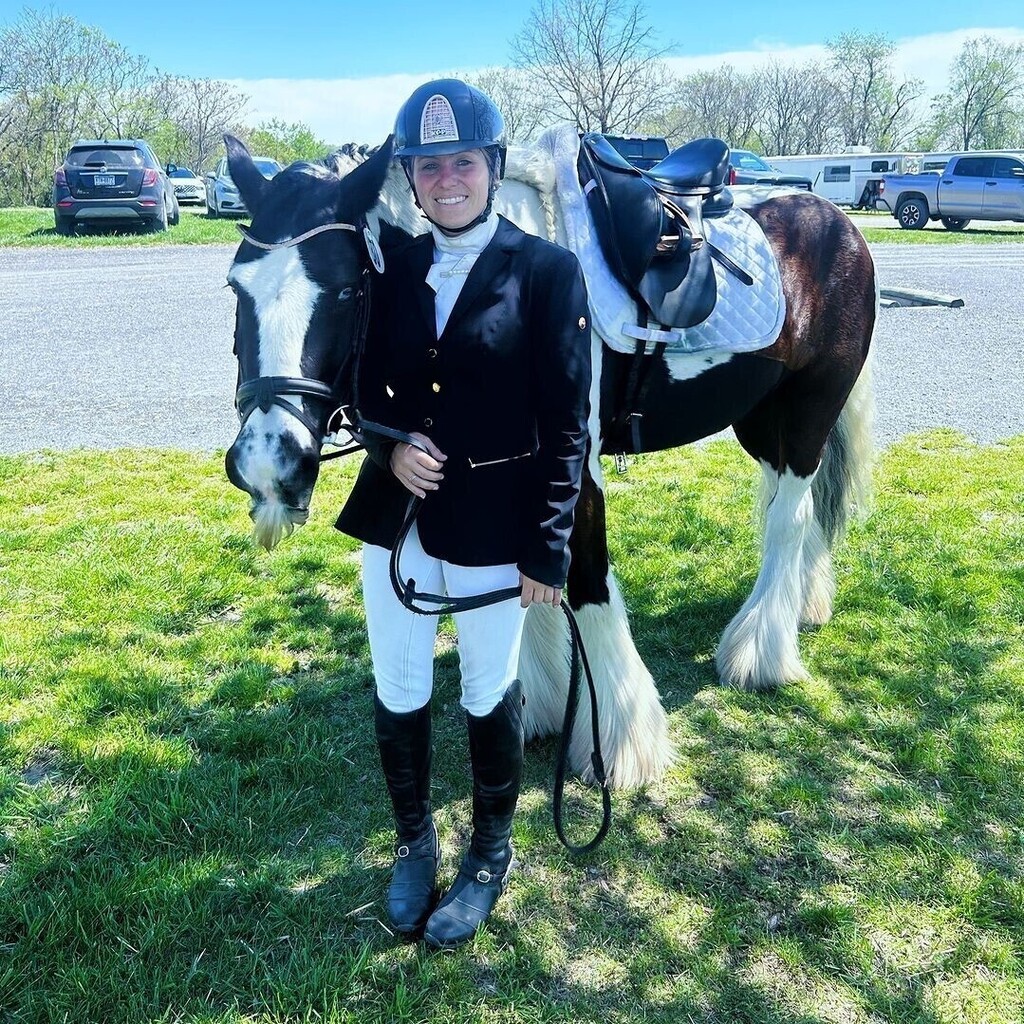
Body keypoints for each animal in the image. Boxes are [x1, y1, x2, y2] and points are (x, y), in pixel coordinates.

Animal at [222, 134, 872, 790]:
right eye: (234, 288)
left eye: (346, 289)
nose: (268, 465)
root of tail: (837, 222)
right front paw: (539, 701)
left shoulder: (572, 463)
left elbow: (585, 580)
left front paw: (621, 741)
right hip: (760, 419)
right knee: (792, 510)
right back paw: (804, 606)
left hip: (811, 408)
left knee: (789, 519)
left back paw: (760, 654)